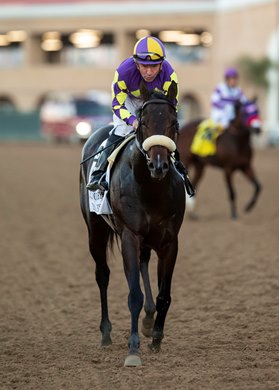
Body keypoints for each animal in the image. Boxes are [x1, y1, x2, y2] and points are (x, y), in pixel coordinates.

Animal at [80, 80, 187, 368]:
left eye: (174, 122)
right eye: (143, 121)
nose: (159, 165)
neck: (150, 188)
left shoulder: (169, 241)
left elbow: (164, 295)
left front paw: (156, 338)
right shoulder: (129, 235)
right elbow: (133, 295)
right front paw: (133, 349)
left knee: (142, 264)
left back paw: (149, 320)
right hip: (95, 230)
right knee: (102, 275)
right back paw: (106, 334)